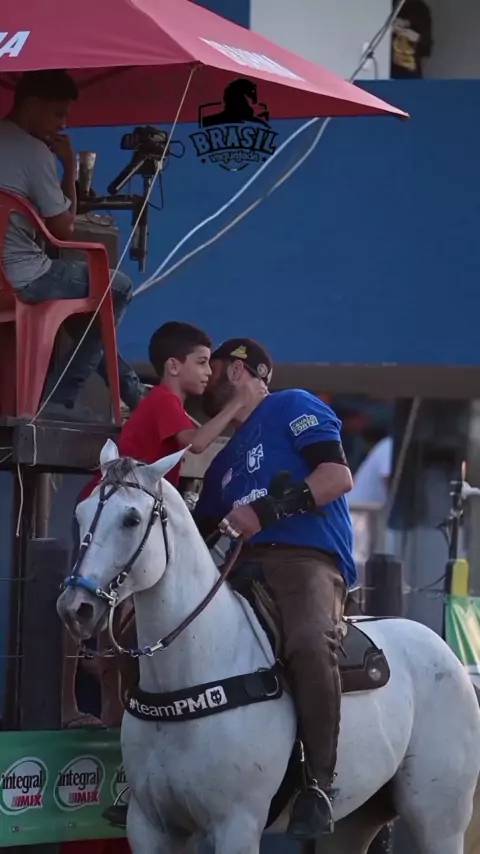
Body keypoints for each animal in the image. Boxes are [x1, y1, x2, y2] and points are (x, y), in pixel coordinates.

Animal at [57, 441, 480, 854]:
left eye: (130, 519)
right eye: (79, 513)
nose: (75, 607)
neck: (193, 675)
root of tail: (445, 652)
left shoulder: (236, 826)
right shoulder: (151, 826)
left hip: (440, 820)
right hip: (355, 822)